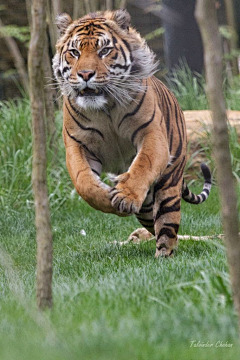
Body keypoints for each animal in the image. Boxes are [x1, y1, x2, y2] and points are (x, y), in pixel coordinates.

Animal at [53, 8, 212, 256]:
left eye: (104, 50)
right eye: (74, 52)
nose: (86, 75)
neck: (105, 109)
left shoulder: (152, 135)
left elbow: (143, 164)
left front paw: (125, 196)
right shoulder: (77, 145)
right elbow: (84, 182)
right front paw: (107, 198)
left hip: (169, 183)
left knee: (167, 226)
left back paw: (164, 256)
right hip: (146, 207)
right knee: (155, 225)